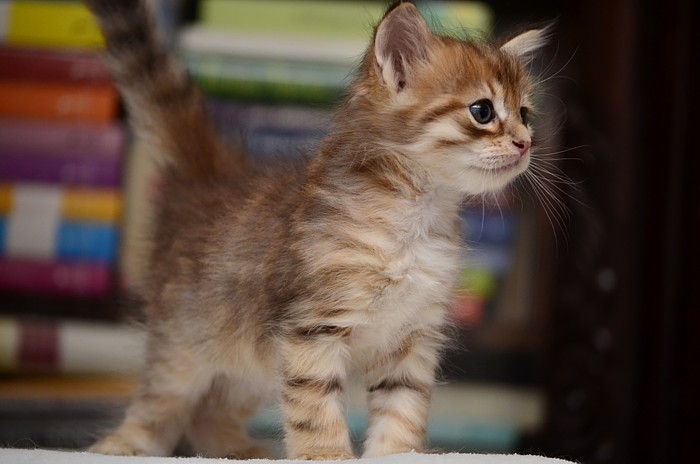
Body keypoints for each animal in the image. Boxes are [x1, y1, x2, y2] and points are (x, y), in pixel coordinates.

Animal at [84, 0, 547, 460]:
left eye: (526, 115)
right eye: (483, 111)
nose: (526, 142)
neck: (415, 220)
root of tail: (213, 172)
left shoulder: (412, 338)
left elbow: (402, 414)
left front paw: (394, 454)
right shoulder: (312, 329)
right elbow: (316, 411)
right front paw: (329, 455)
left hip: (249, 364)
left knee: (208, 416)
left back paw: (246, 451)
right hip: (185, 345)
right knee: (159, 404)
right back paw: (119, 446)